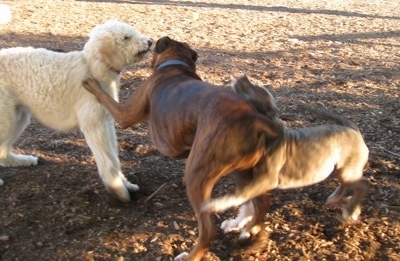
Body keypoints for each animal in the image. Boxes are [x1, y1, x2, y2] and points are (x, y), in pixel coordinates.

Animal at [0, 20, 152, 201]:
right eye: (126, 38)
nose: (150, 41)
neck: (93, 67)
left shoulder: (106, 123)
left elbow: (113, 156)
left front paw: (125, 183)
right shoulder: (94, 126)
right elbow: (107, 159)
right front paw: (117, 189)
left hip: (17, 117)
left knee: (2, 154)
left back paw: (22, 160)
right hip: (7, 119)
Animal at [83, 36, 284, 260]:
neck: (176, 65)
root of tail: (257, 120)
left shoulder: (125, 114)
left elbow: (105, 97)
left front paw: (91, 84)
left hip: (198, 173)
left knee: (208, 229)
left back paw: (191, 255)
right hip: (239, 172)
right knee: (262, 200)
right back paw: (250, 230)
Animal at [203, 75, 368, 225]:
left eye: (256, 89)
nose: (243, 77)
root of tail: (353, 130)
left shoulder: (266, 180)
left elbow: (241, 194)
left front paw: (216, 205)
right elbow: (248, 201)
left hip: (347, 172)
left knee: (364, 185)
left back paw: (351, 212)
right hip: (338, 169)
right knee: (348, 184)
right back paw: (335, 198)